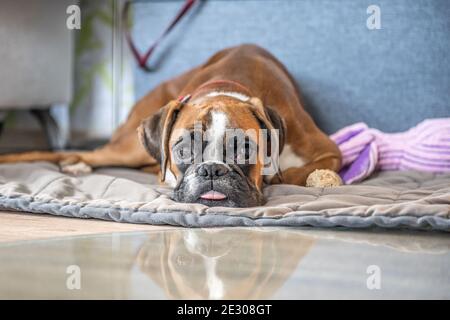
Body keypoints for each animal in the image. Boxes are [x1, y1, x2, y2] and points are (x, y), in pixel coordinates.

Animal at [0, 44, 340, 208]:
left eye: (244, 149)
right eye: (183, 150)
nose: (211, 170)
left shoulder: (330, 151)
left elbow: (297, 172)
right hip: (129, 149)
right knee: (91, 154)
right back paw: (75, 164)